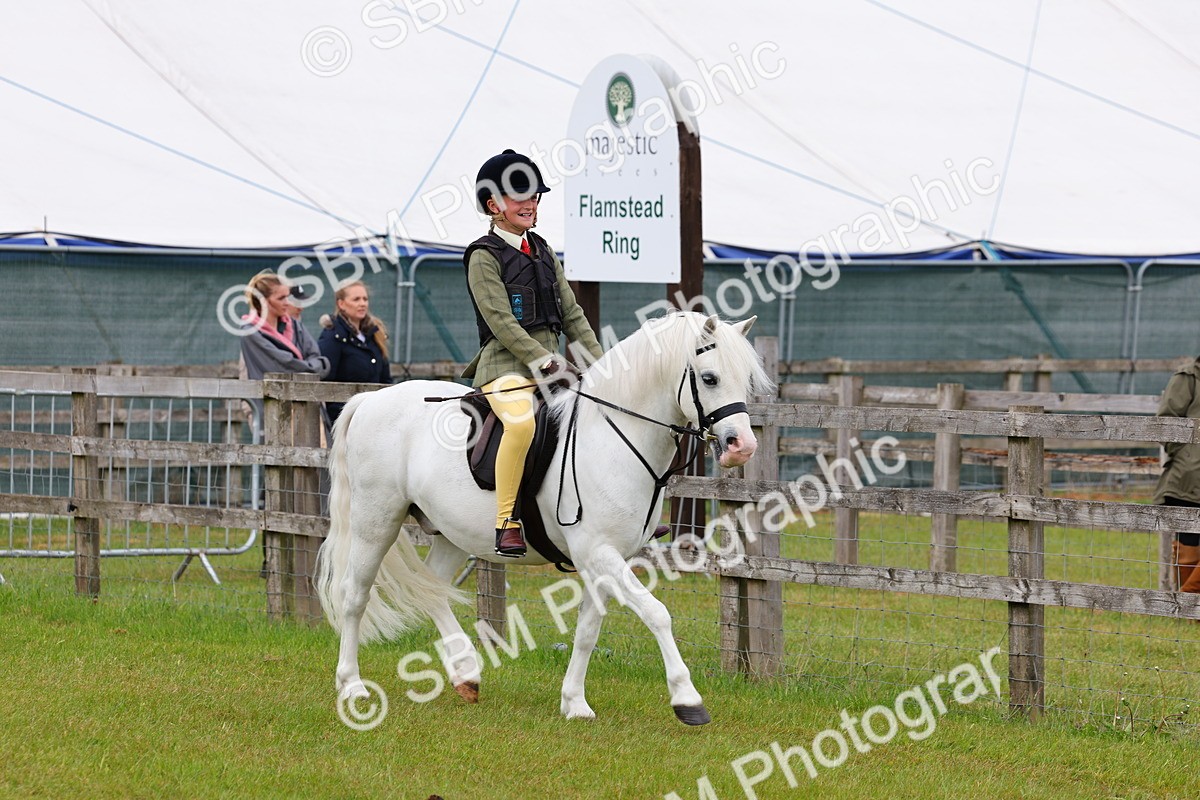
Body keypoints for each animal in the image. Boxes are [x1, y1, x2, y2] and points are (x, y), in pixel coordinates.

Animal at [314, 312, 771, 725]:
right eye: (709, 378)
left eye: (746, 379)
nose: (743, 446)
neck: (615, 438)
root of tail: (372, 399)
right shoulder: (600, 552)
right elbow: (657, 613)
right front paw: (687, 699)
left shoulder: (605, 559)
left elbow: (588, 630)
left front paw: (575, 703)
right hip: (376, 521)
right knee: (355, 596)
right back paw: (352, 686)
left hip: (449, 532)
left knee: (435, 590)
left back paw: (465, 673)